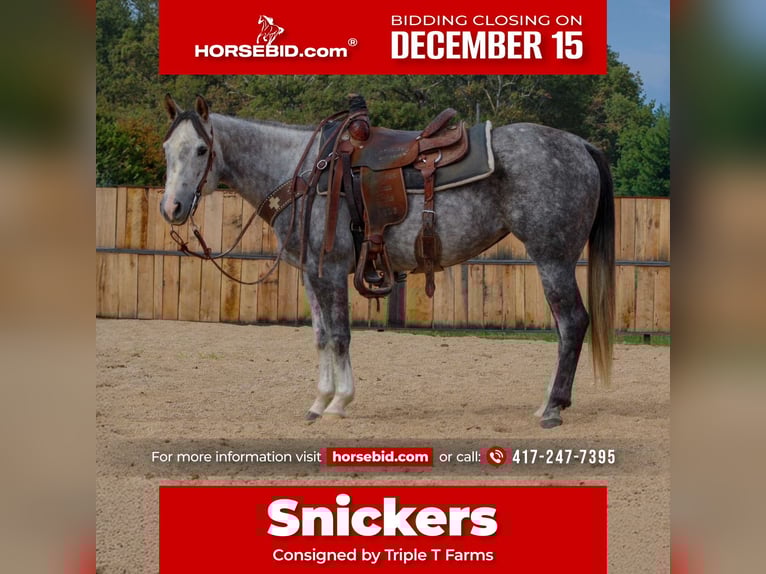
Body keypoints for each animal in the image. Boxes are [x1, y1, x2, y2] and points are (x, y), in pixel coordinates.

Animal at [160, 94, 615, 428]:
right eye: (167, 149)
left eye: (201, 149)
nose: (172, 208)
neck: (303, 172)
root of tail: (580, 145)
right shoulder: (311, 275)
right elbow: (320, 337)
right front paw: (319, 401)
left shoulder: (330, 270)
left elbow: (340, 335)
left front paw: (338, 403)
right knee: (564, 328)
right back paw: (547, 403)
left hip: (552, 258)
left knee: (572, 323)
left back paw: (552, 408)